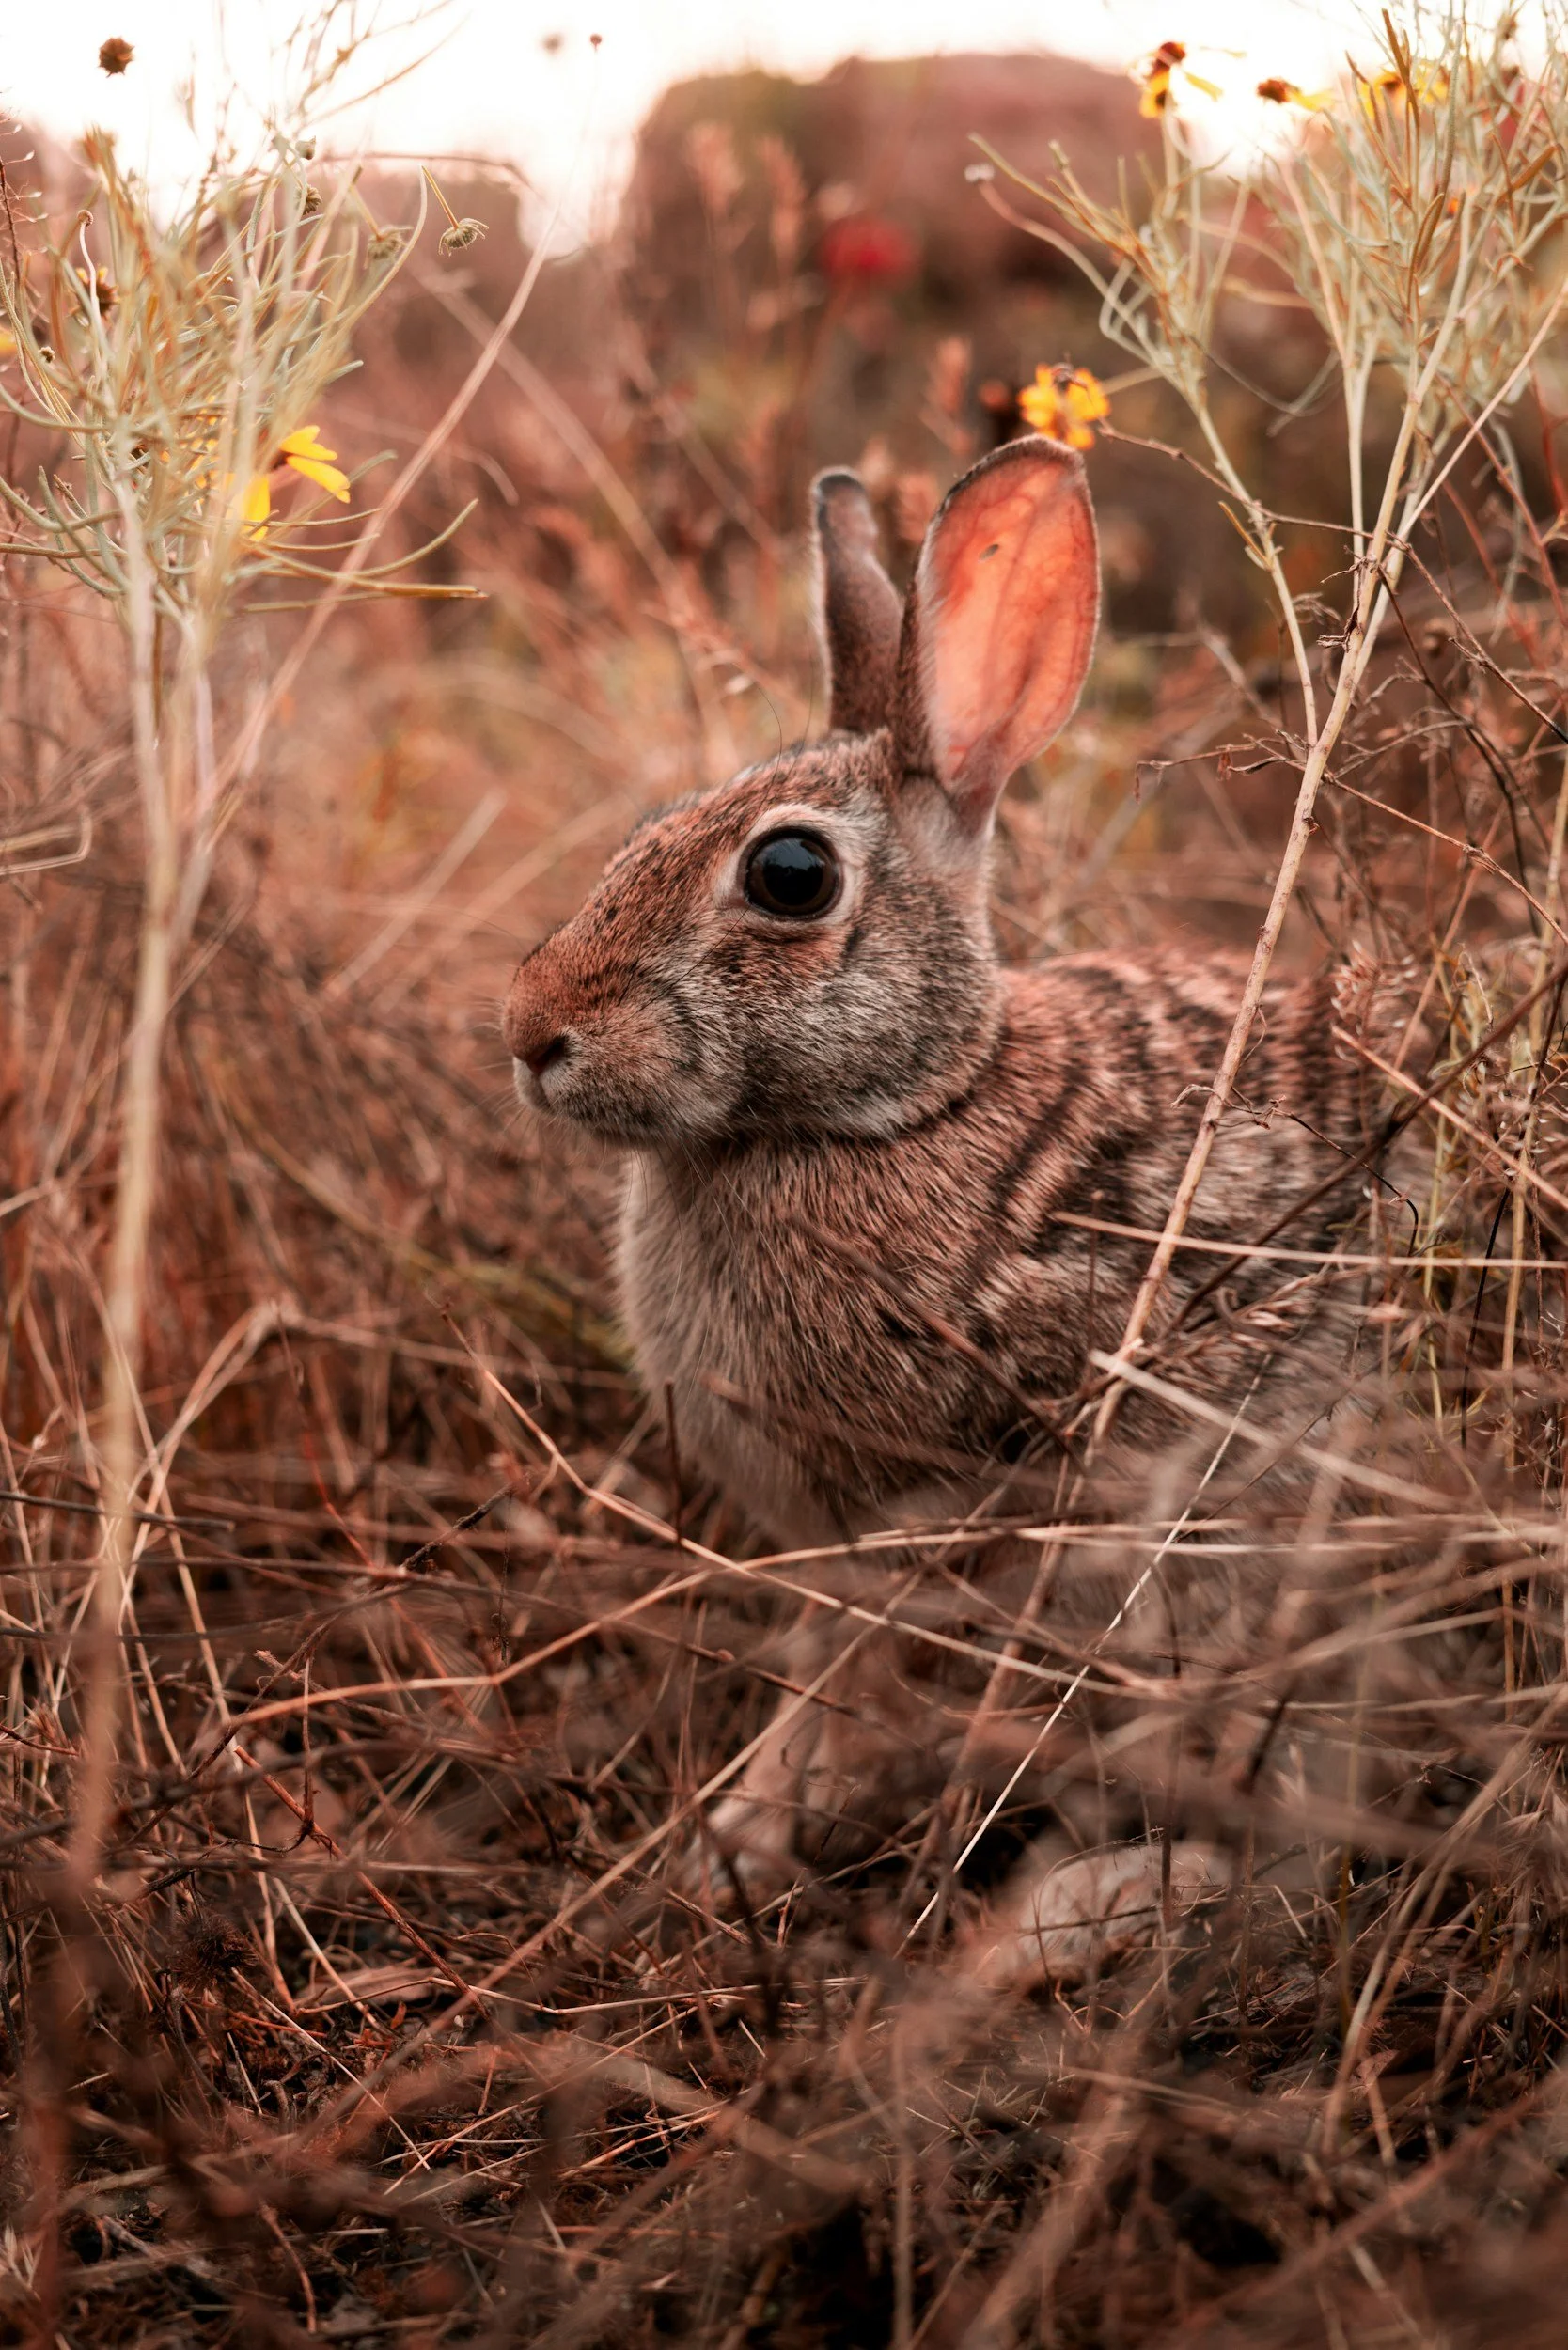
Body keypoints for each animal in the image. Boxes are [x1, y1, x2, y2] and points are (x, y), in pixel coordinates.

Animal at [503, 437, 1374, 1981]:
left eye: (790, 876)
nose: (528, 1033)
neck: (905, 1106)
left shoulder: (927, 1521)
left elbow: (848, 1685)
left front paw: (744, 1841)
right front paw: (727, 1835)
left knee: (1287, 1854)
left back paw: (1045, 1932)